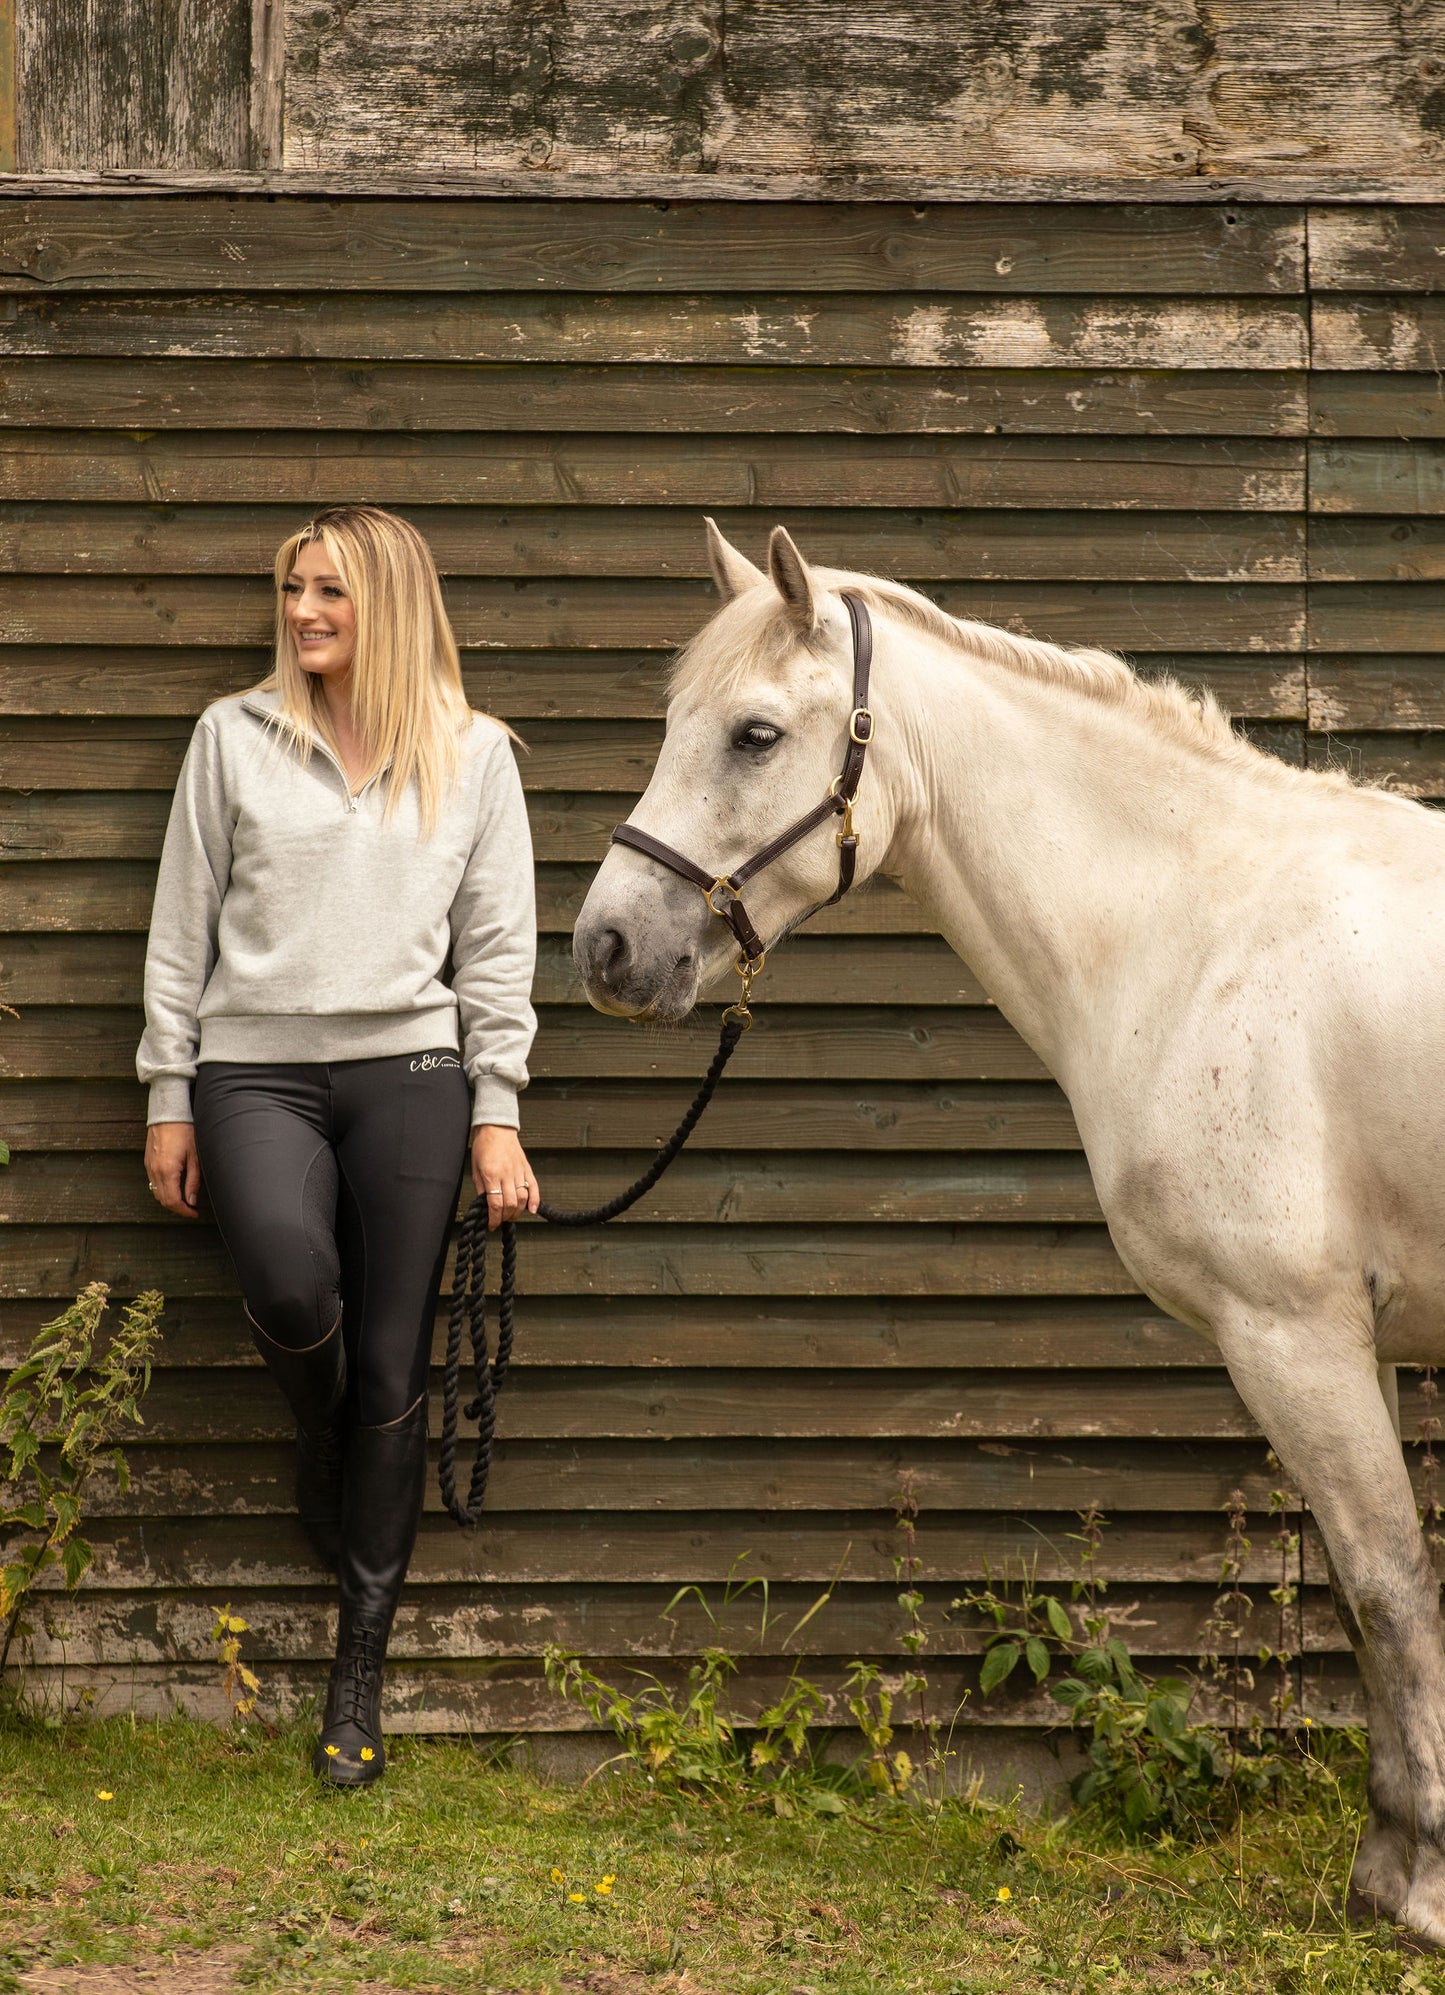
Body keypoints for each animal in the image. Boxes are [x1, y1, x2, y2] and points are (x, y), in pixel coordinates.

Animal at [566, 522, 1445, 1939]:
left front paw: (1417, 1889)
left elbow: (1387, 1588)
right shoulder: (1336, 1339)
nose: (607, 946)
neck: (1207, 930)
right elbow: (1372, 1603)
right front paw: (1382, 1871)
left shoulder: (1294, 1333)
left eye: (752, 735)